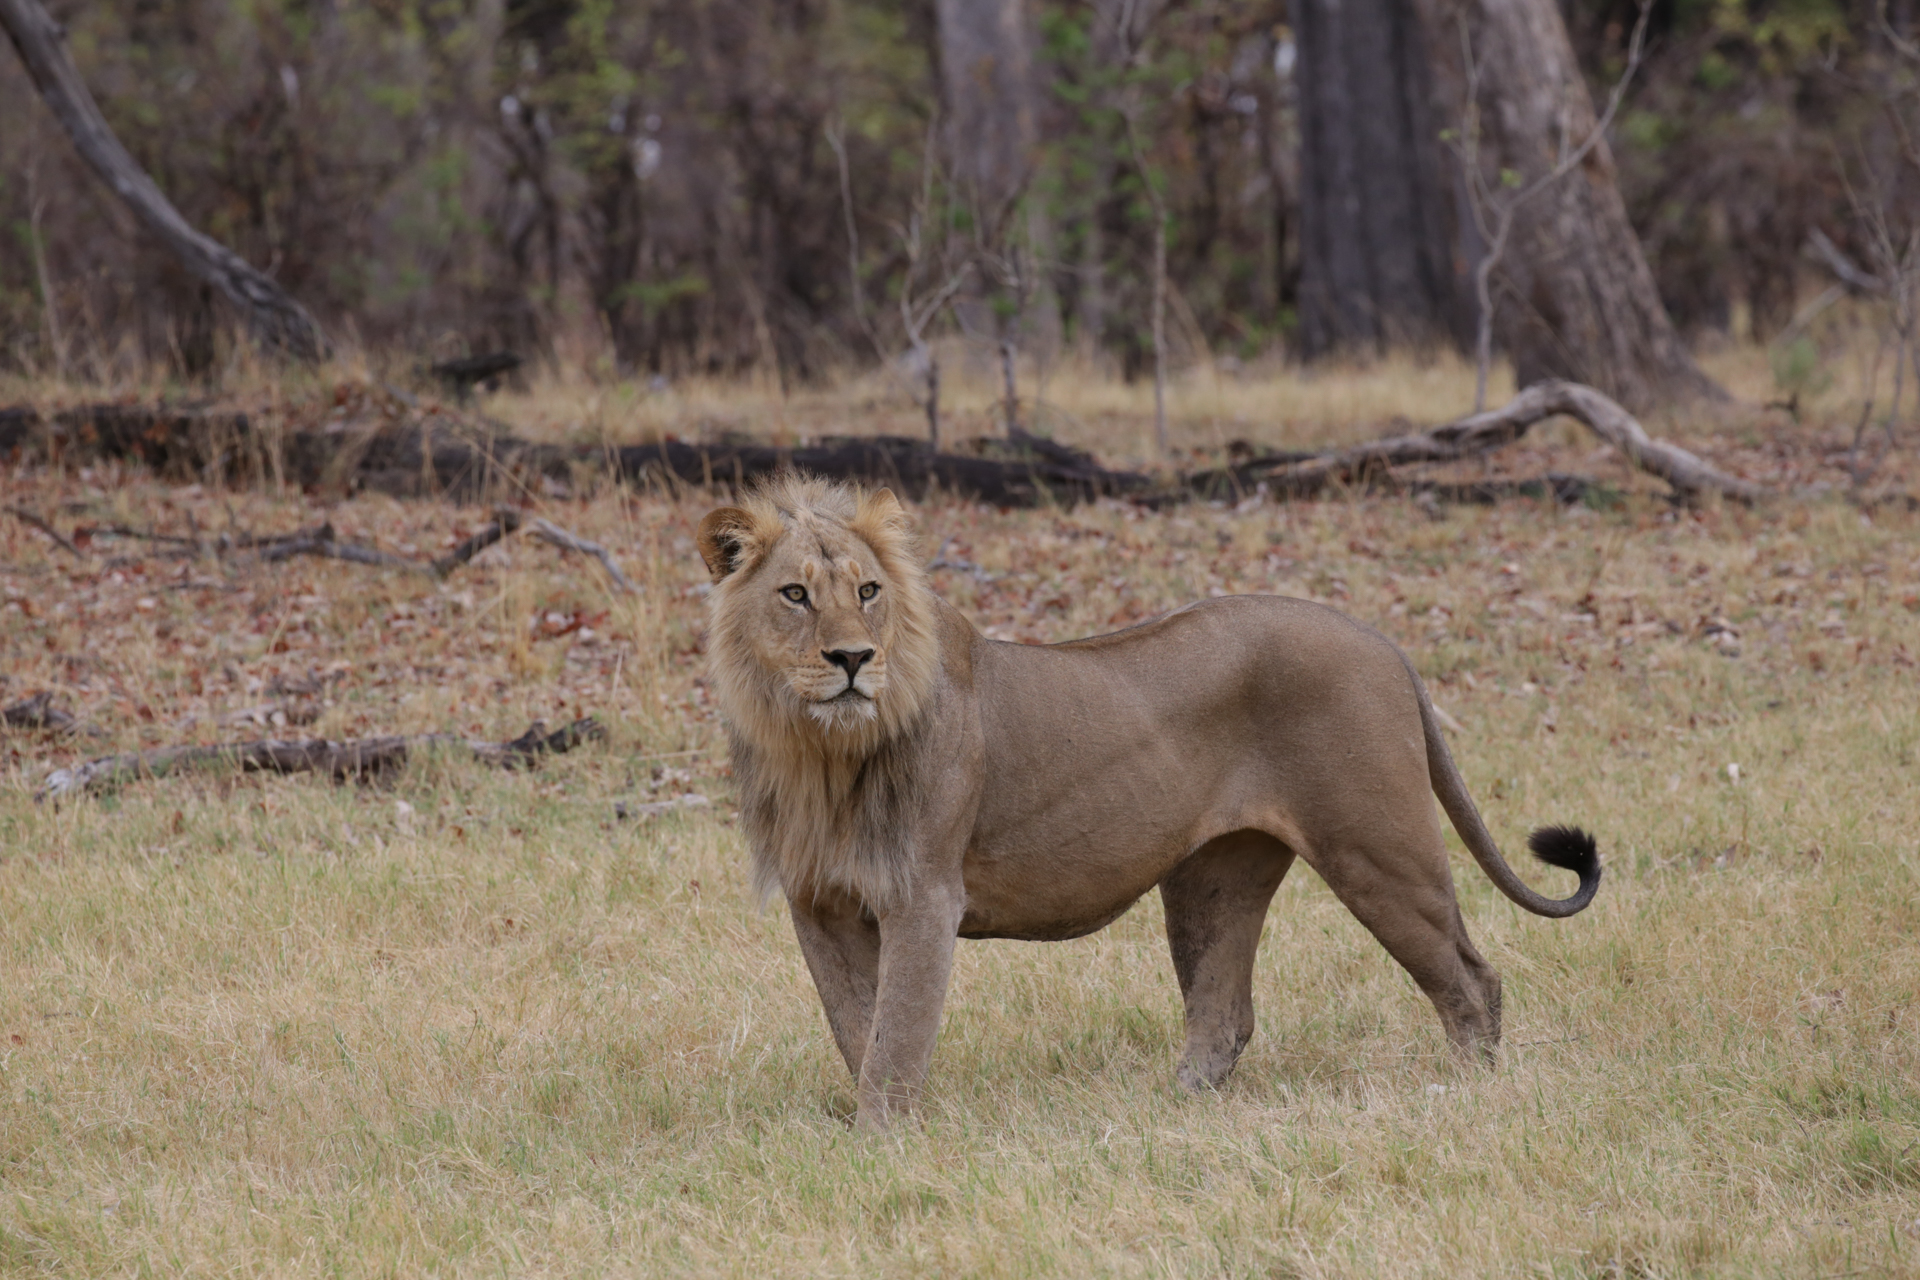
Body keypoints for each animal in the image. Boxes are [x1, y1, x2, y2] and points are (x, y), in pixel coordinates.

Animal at [698, 475, 1597, 1128]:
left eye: (869, 590)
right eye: (794, 595)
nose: (853, 658)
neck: (817, 751)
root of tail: (1381, 639)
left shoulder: (923, 895)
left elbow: (895, 1039)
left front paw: (883, 1142)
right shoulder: (819, 904)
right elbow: (857, 1027)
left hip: (1376, 847)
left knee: (1472, 978)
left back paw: (1466, 1095)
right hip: (1215, 876)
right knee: (1224, 1011)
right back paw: (1166, 1113)